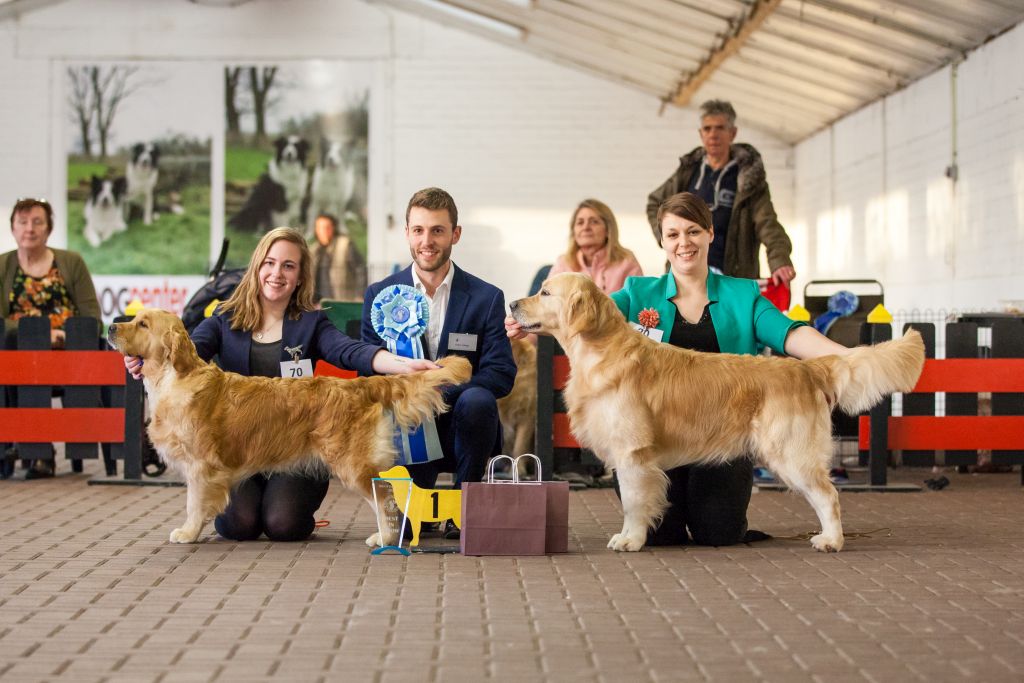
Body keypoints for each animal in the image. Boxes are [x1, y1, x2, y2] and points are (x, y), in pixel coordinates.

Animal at [109, 311, 471, 548]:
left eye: (142, 324)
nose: (112, 327)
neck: (174, 377)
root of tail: (363, 385)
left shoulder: (201, 465)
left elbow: (193, 503)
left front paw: (188, 532)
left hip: (352, 462)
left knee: (385, 497)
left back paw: (383, 538)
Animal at [507, 270, 925, 548]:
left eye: (544, 292)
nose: (511, 303)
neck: (599, 350)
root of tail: (806, 367)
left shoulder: (633, 452)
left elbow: (633, 502)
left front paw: (631, 540)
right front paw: (630, 536)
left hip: (789, 451)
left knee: (828, 495)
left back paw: (831, 540)